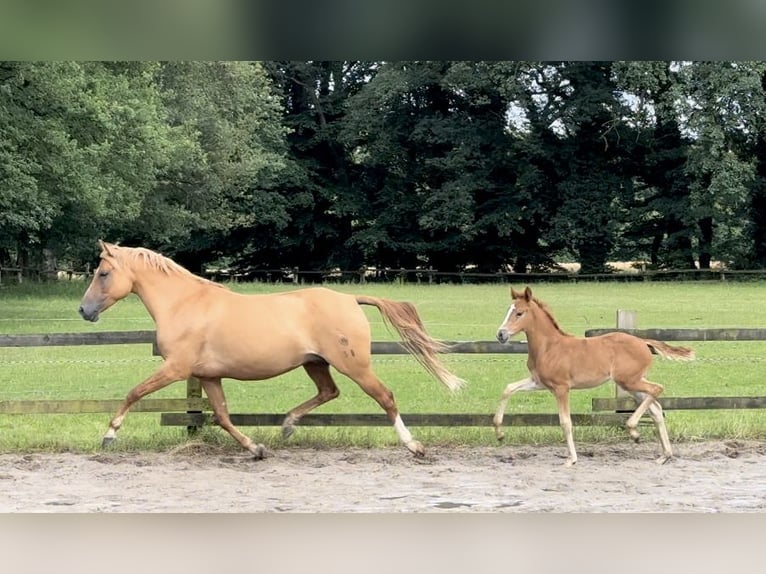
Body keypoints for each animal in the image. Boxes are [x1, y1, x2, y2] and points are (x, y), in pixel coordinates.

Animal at [78, 242, 464, 460]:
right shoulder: (208, 375)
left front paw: (108, 436)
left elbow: (134, 393)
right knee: (329, 392)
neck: (185, 304)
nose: (84, 311)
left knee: (385, 397)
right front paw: (256, 449)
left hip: (353, 366)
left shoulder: (177, 368)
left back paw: (415, 447)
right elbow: (221, 416)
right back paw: (288, 424)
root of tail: (350, 298)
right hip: (316, 364)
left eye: (103, 273)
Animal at [492, 288, 696, 468]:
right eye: (508, 310)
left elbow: (565, 422)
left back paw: (634, 432)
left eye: (519, 313)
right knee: (656, 408)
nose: (501, 334)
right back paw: (664, 455)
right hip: (632, 385)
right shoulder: (539, 382)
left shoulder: (561, 388)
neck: (549, 347)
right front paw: (500, 433)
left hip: (629, 381)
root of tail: (643, 342)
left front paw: (571, 460)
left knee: (657, 389)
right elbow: (508, 389)